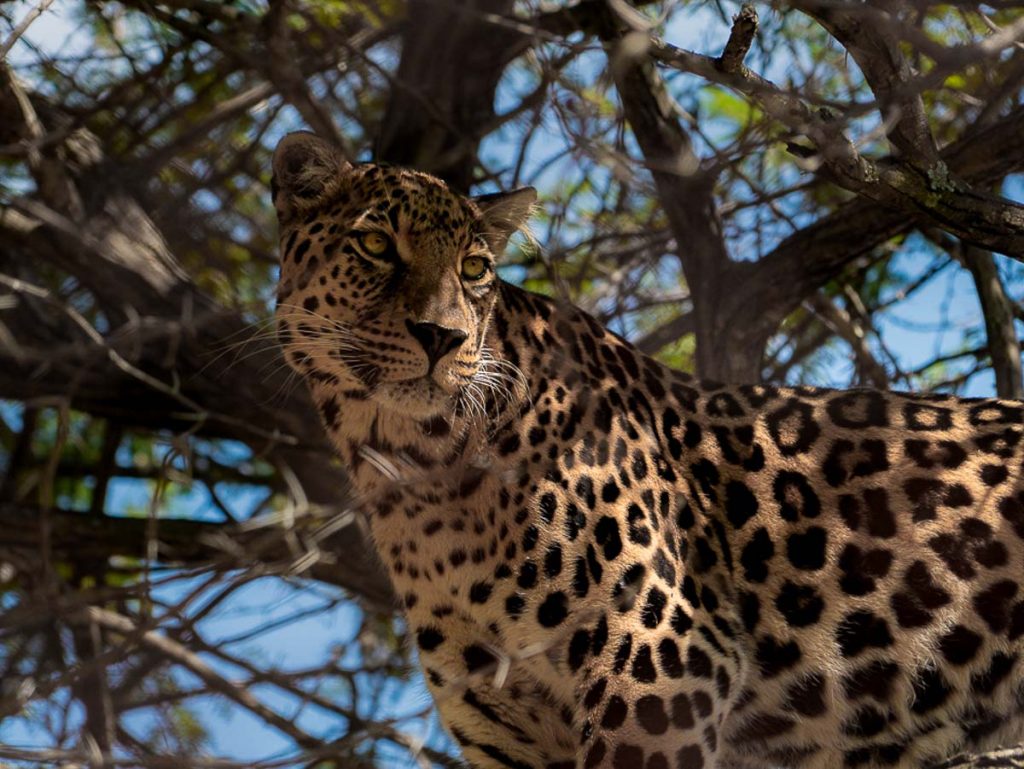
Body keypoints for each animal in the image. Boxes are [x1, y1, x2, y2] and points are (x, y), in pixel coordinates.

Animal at [270, 129, 1024, 765]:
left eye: (475, 267)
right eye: (375, 246)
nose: (442, 337)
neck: (420, 474)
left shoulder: (661, 658)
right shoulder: (506, 726)